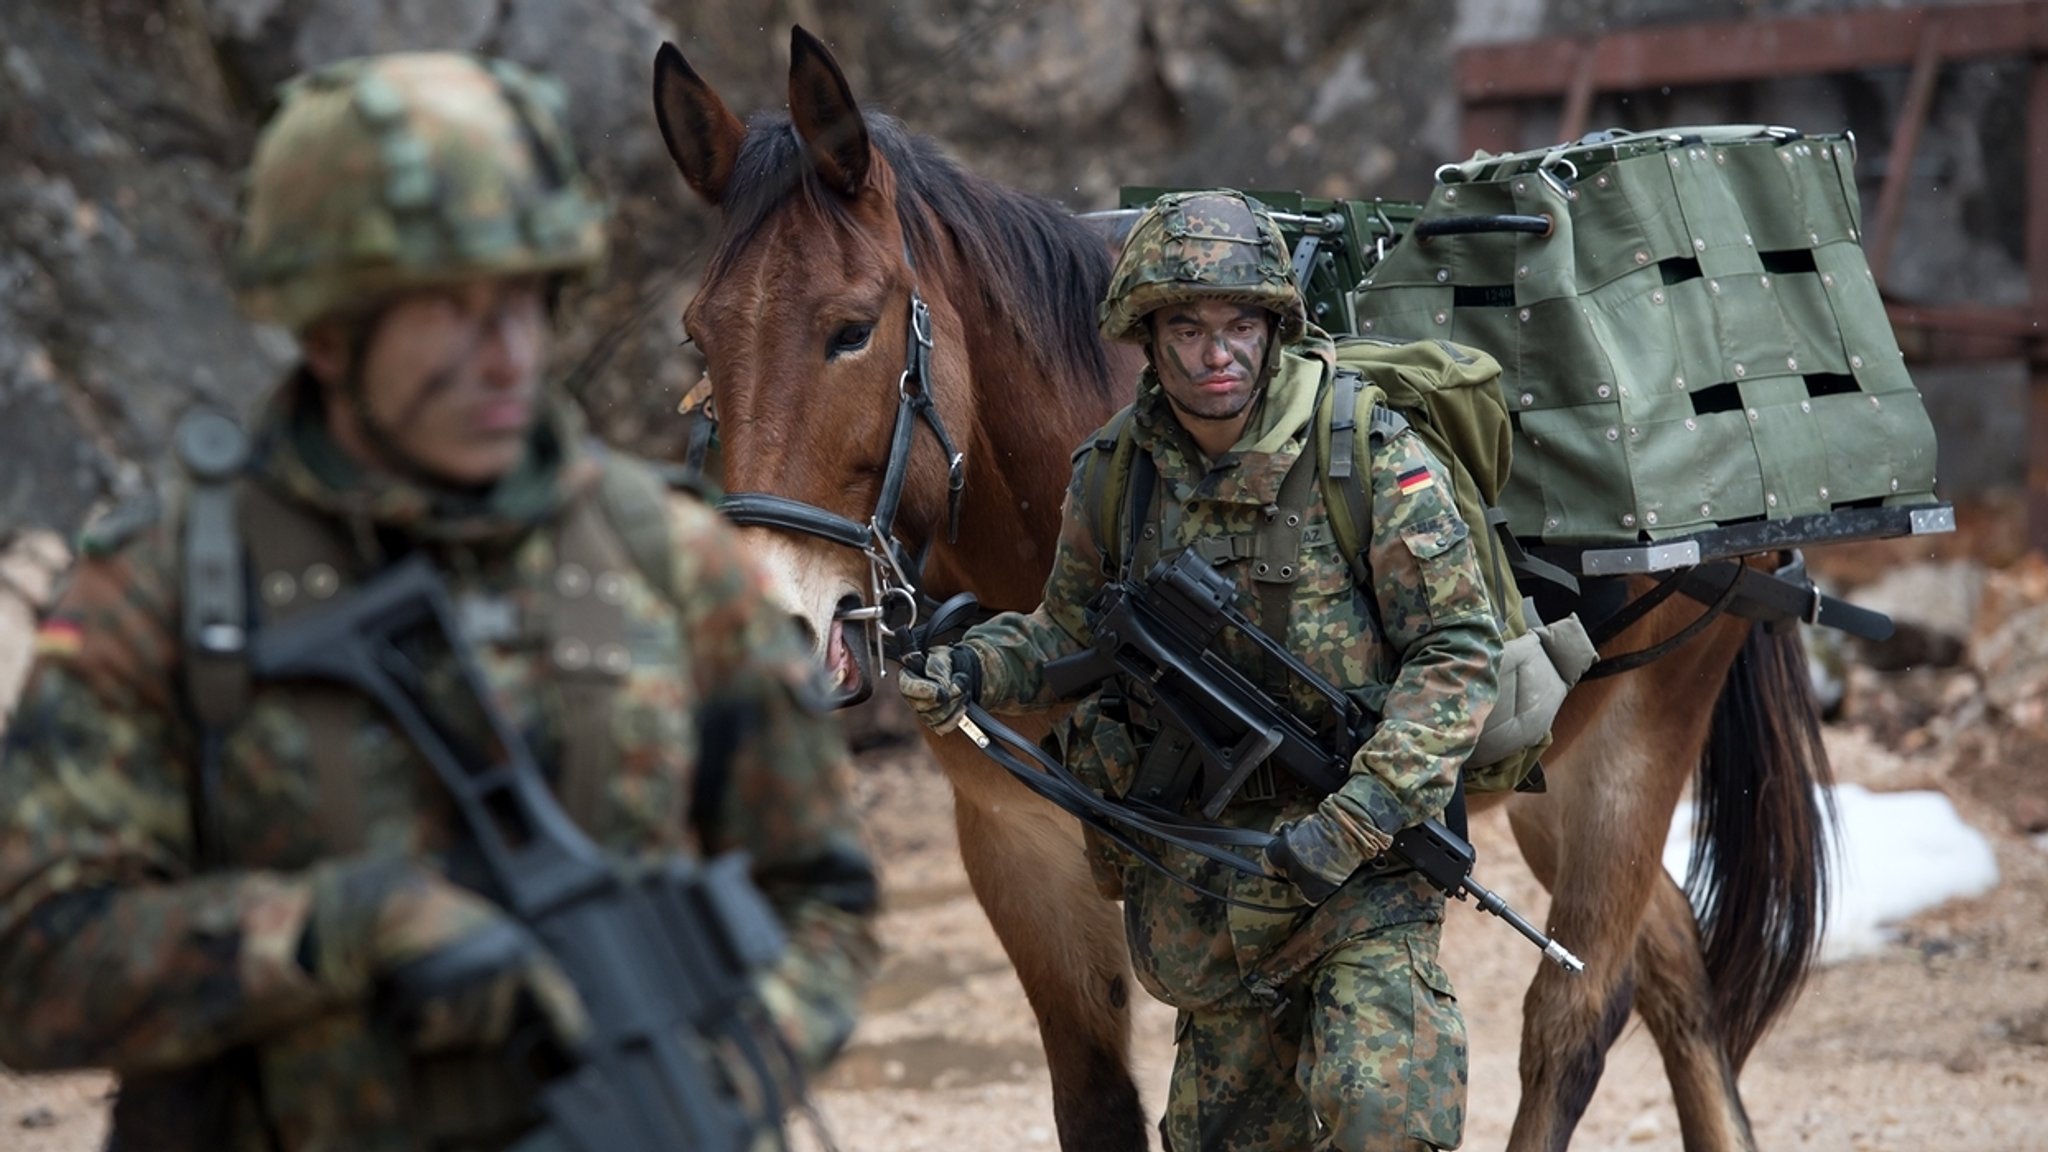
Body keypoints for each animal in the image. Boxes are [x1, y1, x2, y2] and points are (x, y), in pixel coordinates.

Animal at [651, 26, 1826, 1147]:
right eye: (698, 337)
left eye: (852, 330)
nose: (775, 623)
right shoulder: (1014, 854)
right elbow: (1102, 1102)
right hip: (1556, 768)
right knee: (1668, 960)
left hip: (1639, 732)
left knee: (1572, 1017)